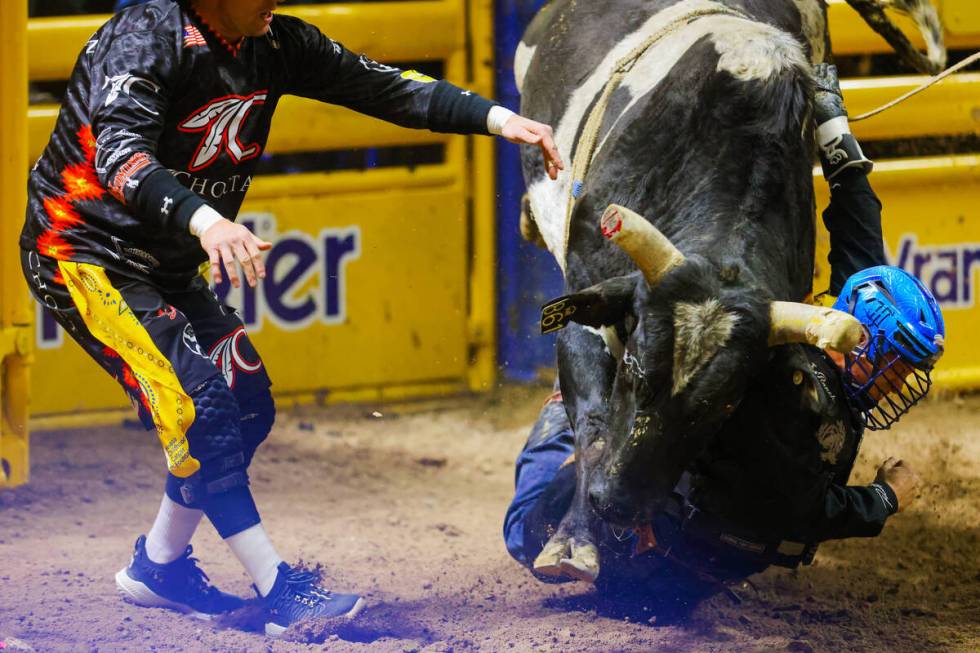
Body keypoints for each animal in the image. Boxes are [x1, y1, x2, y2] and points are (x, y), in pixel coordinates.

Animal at [516, 0, 944, 580]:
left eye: (723, 406)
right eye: (634, 370)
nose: (619, 504)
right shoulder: (587, 305)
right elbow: (596, 424)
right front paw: (571, 543)